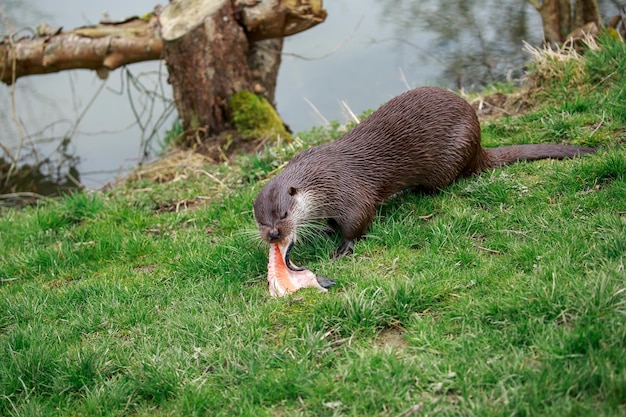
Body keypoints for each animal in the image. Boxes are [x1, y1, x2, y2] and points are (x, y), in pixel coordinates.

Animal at [252, 87, 596, 256]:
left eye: (284, 215)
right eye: (260, 221)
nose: (273, 234)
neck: (321, 180)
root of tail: (478, 145)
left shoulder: (349, 191)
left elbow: (359, 221)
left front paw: (343, 246)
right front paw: (324, 229)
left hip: (453, 152)